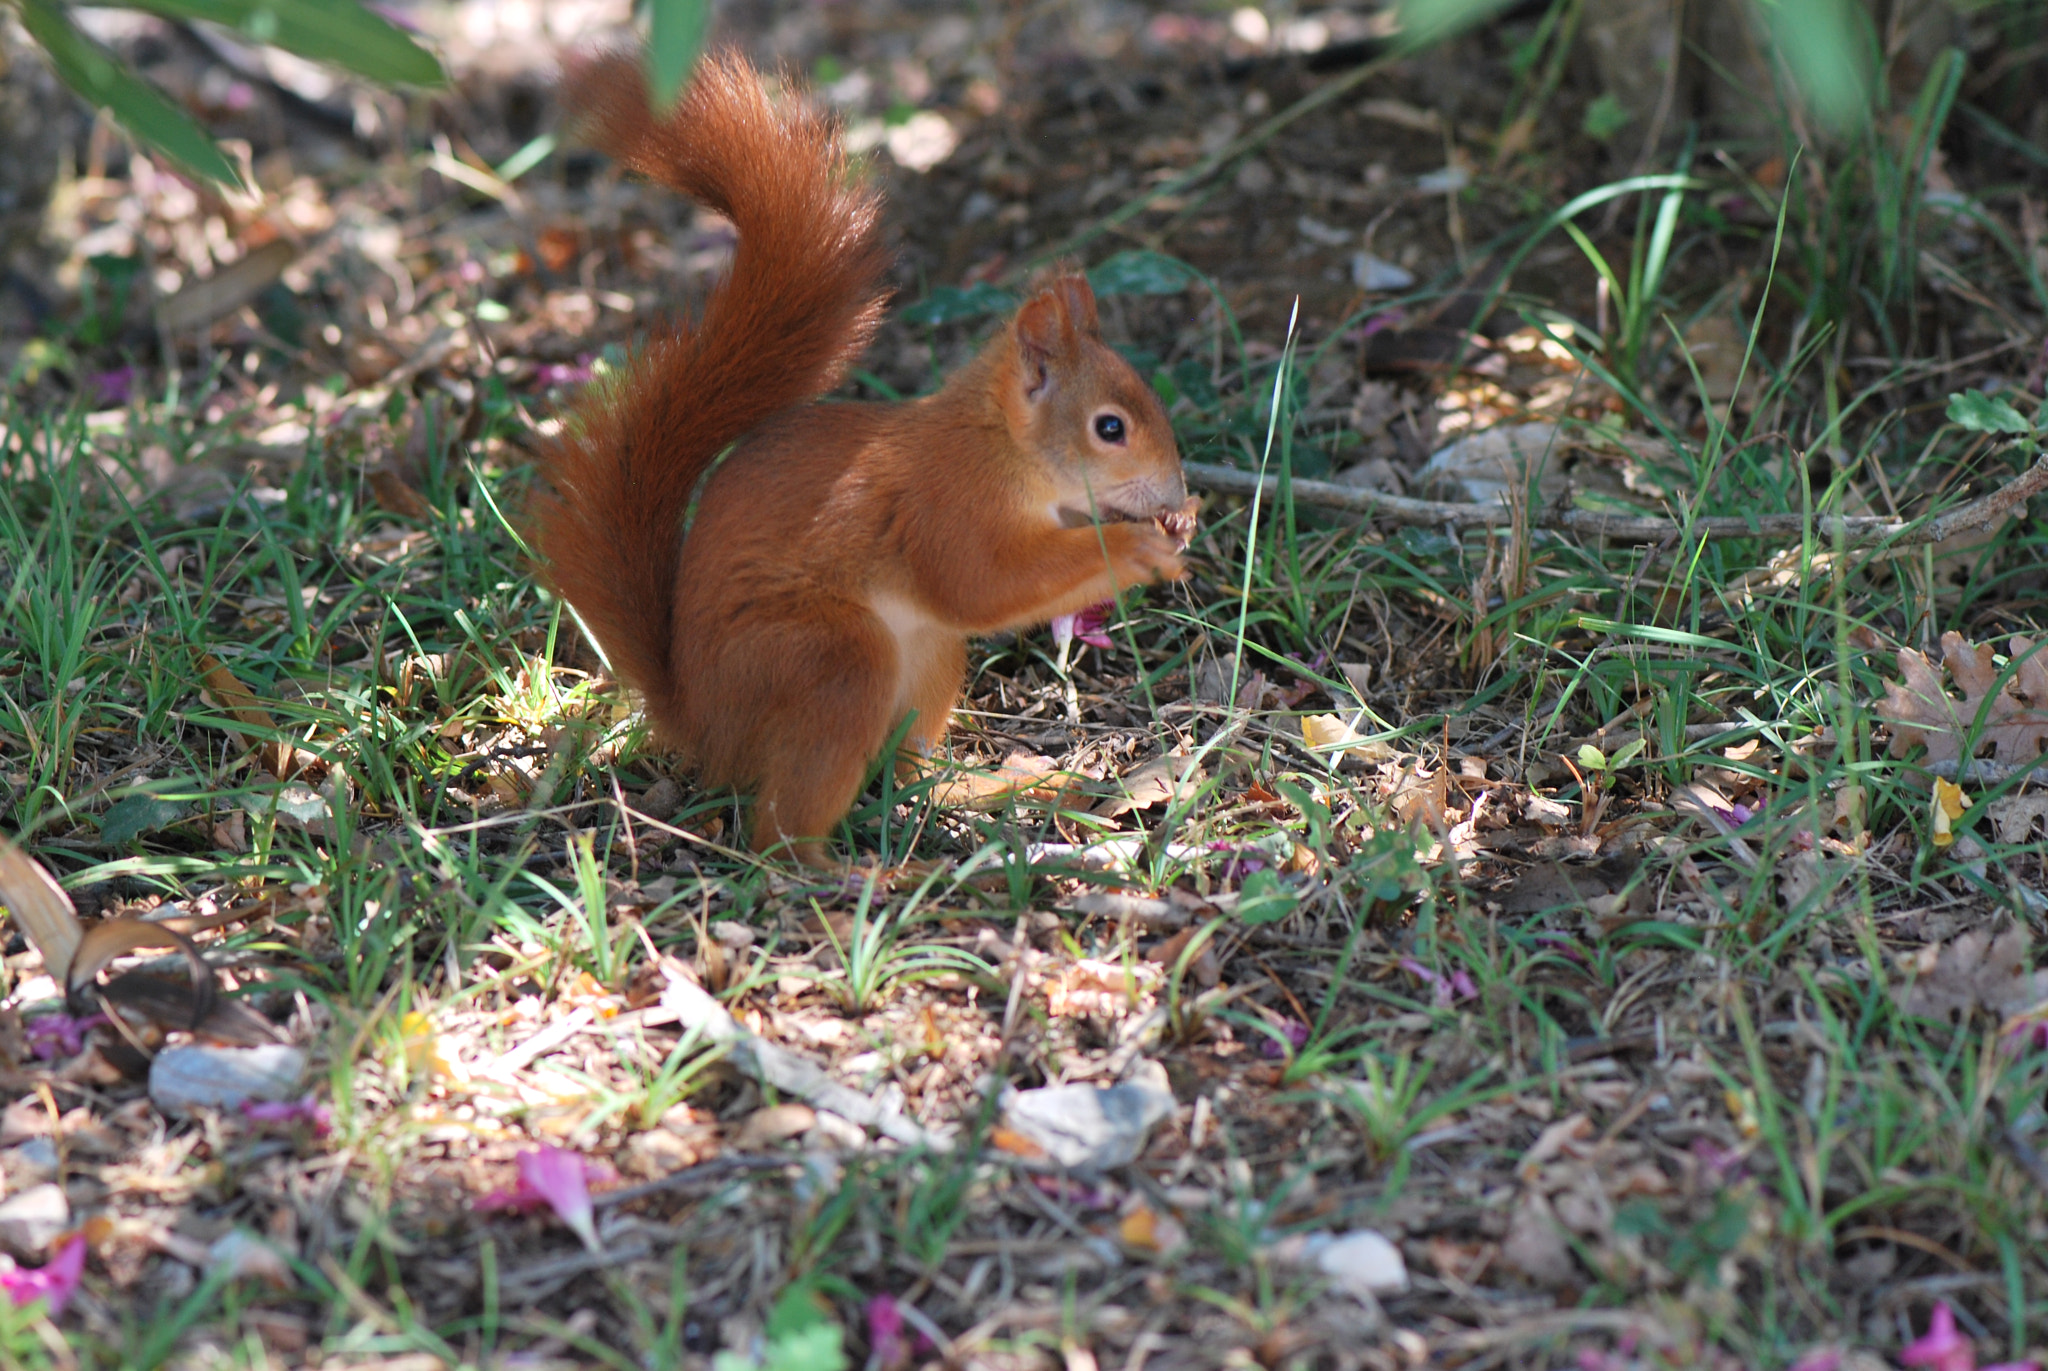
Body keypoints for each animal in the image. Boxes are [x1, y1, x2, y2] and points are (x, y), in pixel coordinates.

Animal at [529, 49, 1196, 864]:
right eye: (1109, 428)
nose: (1175, 492)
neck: (999, 446)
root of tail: (699, 723)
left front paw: (1175, 530)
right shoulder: (943, 504)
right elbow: (979, 584)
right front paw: (1135, 547)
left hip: (930, 657)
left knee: (907, 775)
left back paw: (993, 788)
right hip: (832, 664)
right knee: (777, 835)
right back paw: (849, 875)